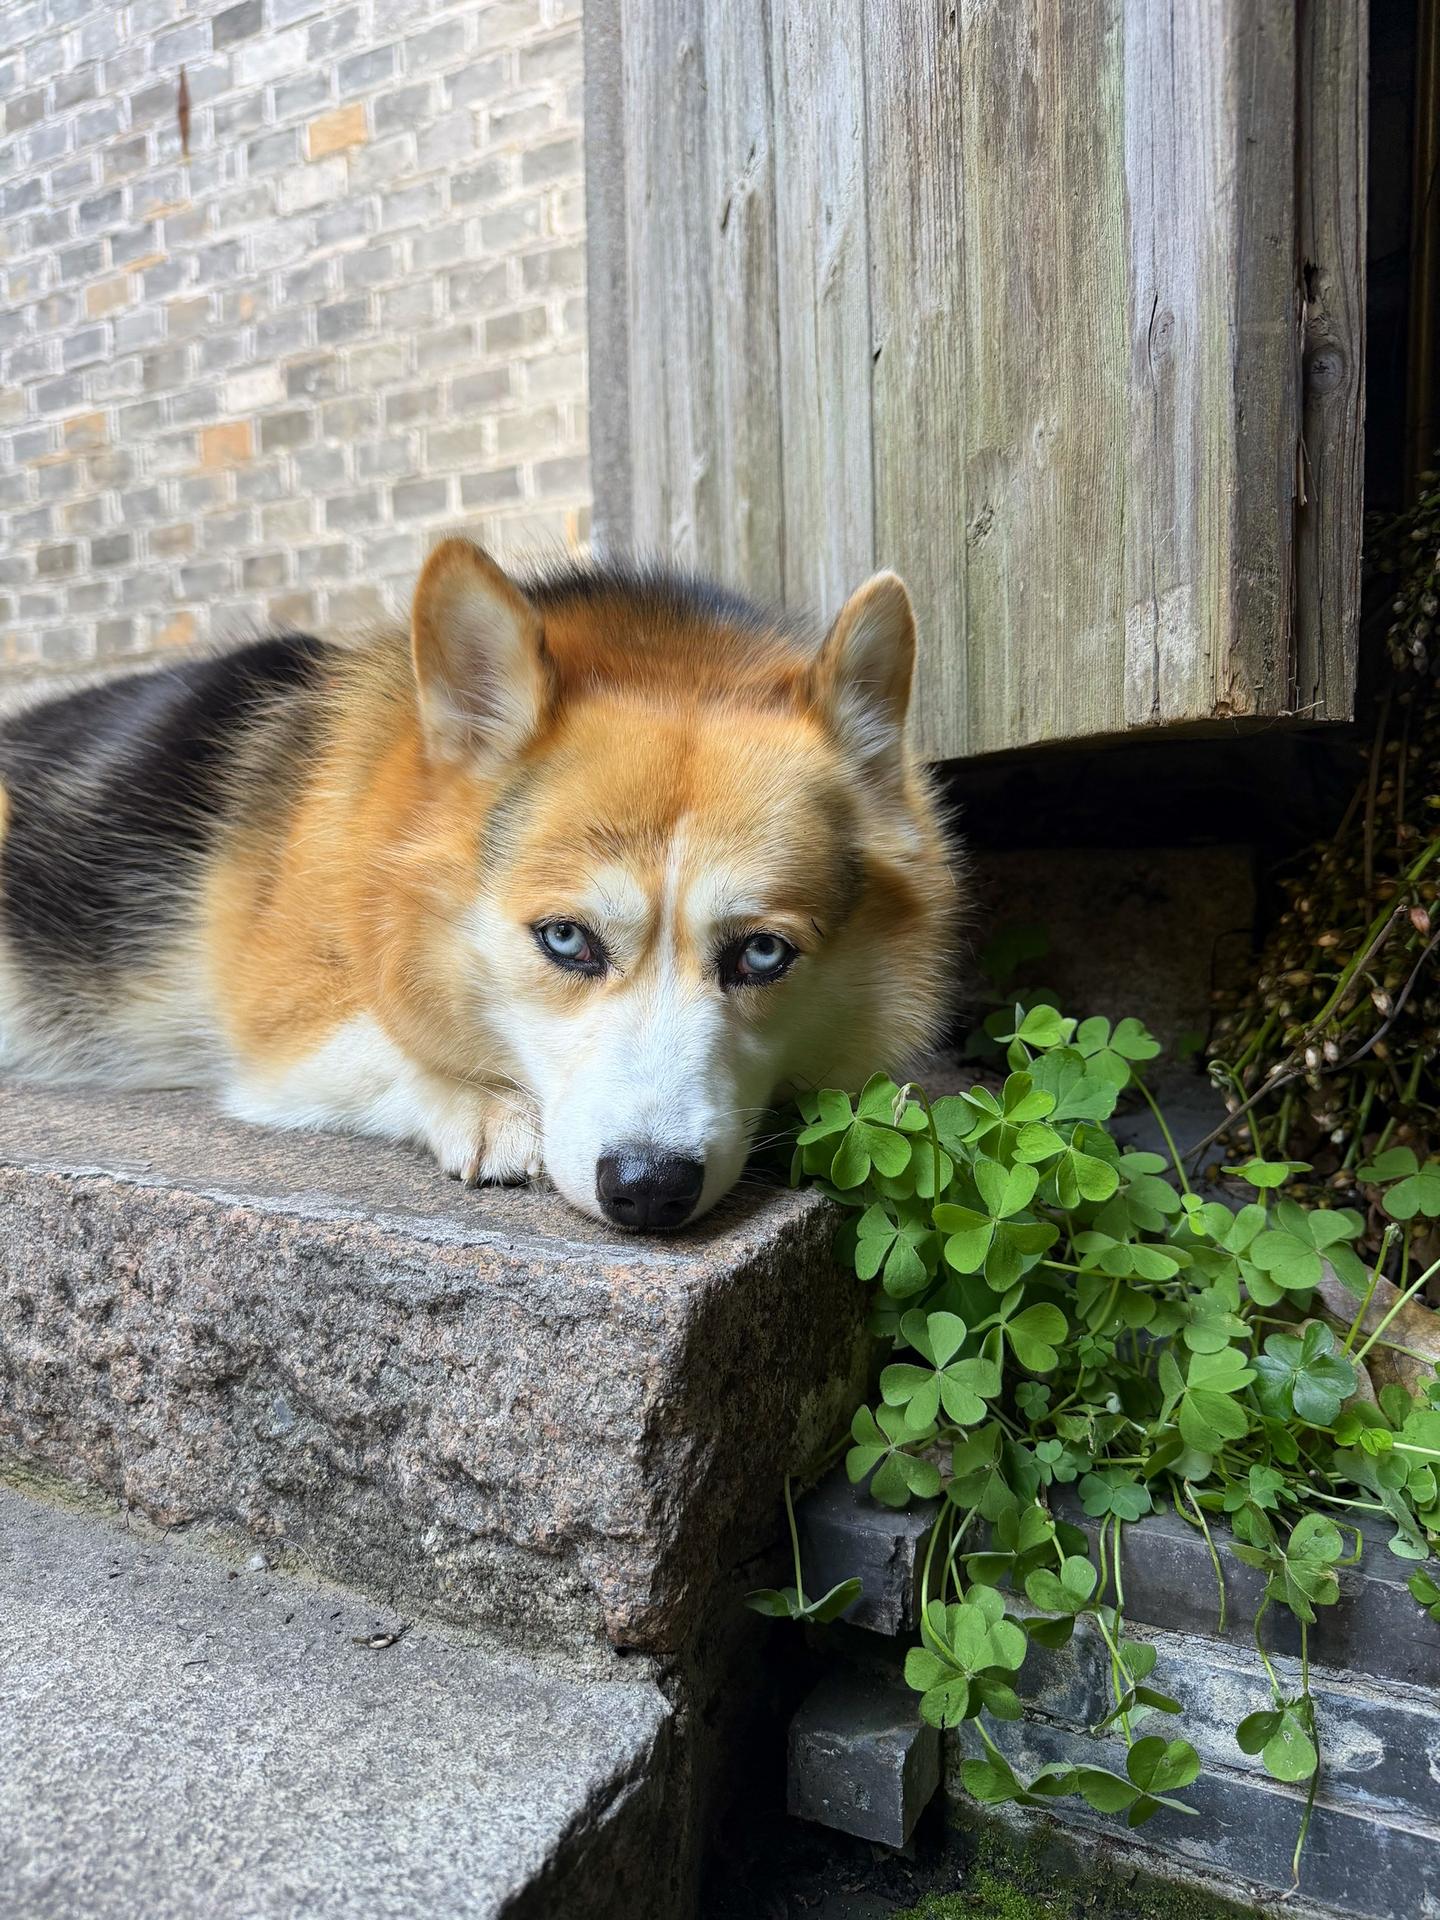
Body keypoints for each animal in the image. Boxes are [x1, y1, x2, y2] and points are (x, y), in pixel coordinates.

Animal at [0, 541, 958, 1229]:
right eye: (565, 939)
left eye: (762, 954)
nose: (649, 1189)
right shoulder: (282, 1024)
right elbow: (388, 1036)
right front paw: (486, 1103)